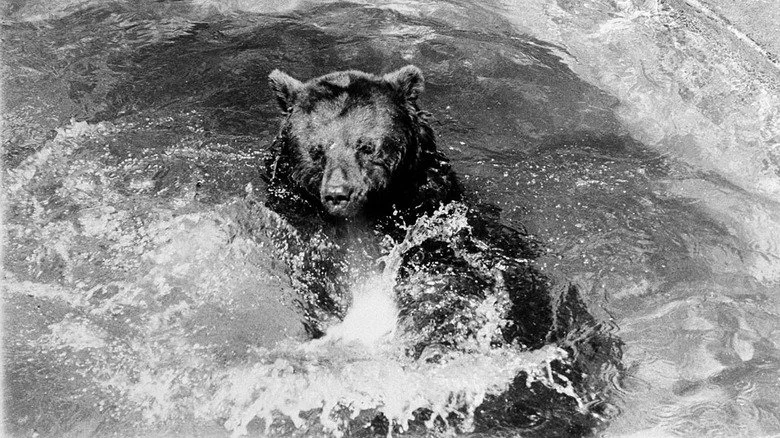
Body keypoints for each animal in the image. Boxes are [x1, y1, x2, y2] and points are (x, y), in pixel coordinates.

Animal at [262, 66, 622, 436]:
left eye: (366, 145)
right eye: (316, 150)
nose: (338, 193)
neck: (367, 223)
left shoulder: (439, 240)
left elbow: (447, 295)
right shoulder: (306, 242)